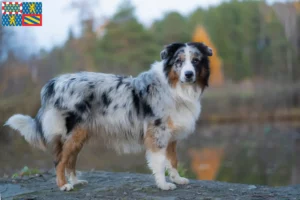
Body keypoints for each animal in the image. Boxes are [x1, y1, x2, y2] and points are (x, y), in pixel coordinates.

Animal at [4, 41, 211, 191]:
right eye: (178, 61)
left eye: (195, 61)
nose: (188, 74)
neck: (175, 88)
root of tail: (53, 83)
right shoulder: (157, 134)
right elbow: (160, 162)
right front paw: (163, 185)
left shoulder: (171, 136)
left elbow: (173, 160)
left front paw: (178, 179)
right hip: (72, 133)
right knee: (60, 160)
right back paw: (64, 186)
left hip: (79, 135)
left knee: (70, 159)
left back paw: (76, 182)